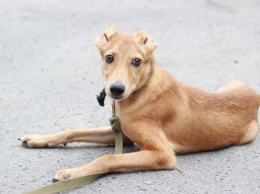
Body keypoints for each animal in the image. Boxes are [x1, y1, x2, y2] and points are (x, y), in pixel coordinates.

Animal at [20, 26, 260, 182]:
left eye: (137, 61)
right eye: (109, 58)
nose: (116, 89)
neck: (140, 92)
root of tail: (254, 95)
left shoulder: (162, 154)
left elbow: (108, 158)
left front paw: (71, 174)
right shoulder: (123, 133)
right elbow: (73, 130)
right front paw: (40, 139)